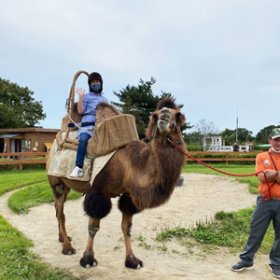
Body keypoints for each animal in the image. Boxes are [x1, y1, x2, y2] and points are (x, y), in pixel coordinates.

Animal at [47, 97, 187, 270]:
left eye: (178, 115)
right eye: (155, 115)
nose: (165, 116)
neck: (131, 165)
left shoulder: (128, 196)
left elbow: (127, 228)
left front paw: (132, 261)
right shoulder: (99, 192)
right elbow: (93, 227)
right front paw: (87, 259)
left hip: (66, 186)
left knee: (57, 208)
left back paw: (63, 238)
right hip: (56, 182)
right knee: (61, 212)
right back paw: (67, 248)